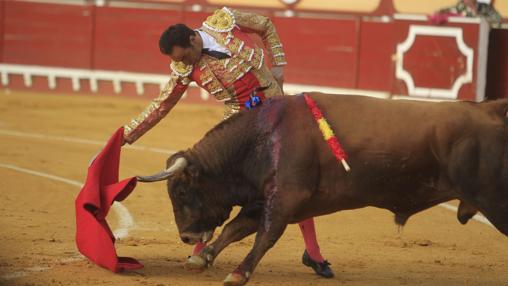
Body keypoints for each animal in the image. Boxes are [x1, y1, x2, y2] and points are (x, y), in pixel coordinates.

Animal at [136, 92, 508, 284]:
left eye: (181, 192)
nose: (186, 238)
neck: (265, 136)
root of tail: (490, 109)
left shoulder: (286, 197)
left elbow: (264, 235)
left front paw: (238, 273)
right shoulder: (266, 197)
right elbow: (235, 228)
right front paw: (203, 258)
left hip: (496, 201)